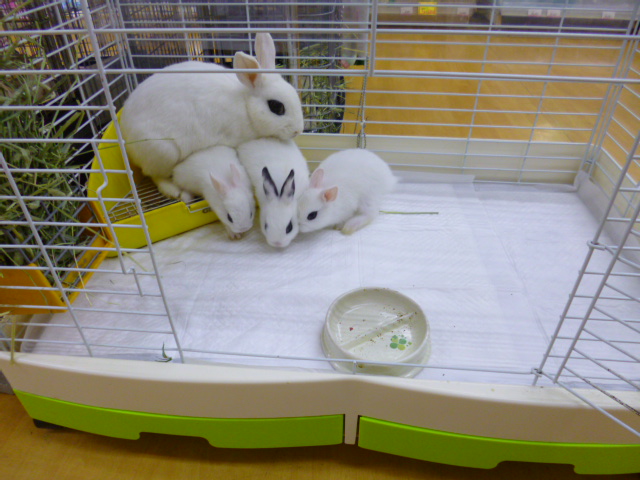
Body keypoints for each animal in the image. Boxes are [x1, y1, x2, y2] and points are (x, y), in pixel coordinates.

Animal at [119, 33, 304, 199]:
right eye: (276, 107)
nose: (298, 131)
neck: (246, 105)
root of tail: (125, 135)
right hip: (164, 152)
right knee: (155, 175)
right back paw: (173, 191)